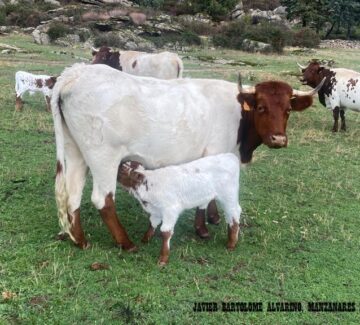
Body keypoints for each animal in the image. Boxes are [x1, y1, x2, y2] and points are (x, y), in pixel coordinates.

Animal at [50, 64, 324, 251]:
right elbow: (206, 193)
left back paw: (81, 240)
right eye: (261, 107)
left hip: (76, 151)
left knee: (72, 194)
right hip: (103, 155)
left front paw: (212, 219)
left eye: (287, 110)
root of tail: (76, 73)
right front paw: (203, 228)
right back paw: (126, 243)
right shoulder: (214, 152)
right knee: (102, 199)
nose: (278, 139)